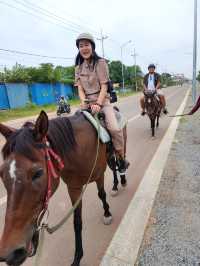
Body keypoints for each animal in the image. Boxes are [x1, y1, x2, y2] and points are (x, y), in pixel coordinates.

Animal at [0, 110, 126, 266]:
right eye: (1, 173)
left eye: (38, 173)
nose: (11, 253)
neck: (81, 148)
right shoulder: (74, 188)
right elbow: (77, 222)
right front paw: (77, 257)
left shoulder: (99, 175)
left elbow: (101, 194)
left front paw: (107, 214)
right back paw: (115, 185)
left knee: (119, 159)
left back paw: (122, 178)